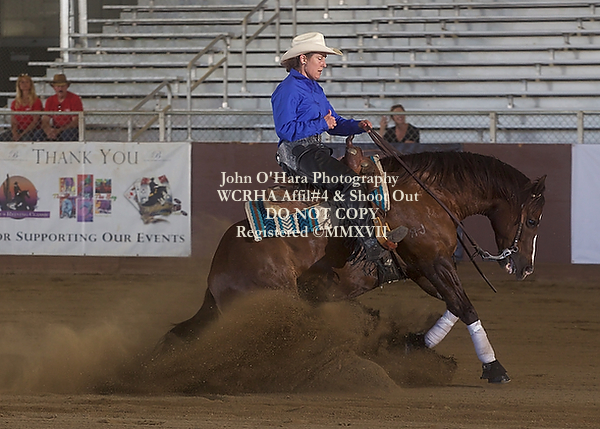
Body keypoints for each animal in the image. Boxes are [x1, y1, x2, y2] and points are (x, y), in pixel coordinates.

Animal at [165, 143, 546, 384]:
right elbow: (465, 307)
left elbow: (454, 305)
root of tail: (218, 267)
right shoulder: (434, 263)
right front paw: (494, 367)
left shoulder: (422, 269)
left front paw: (409, 346)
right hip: (273, 302)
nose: (525, 268)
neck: (427, 198)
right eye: (532, 221)